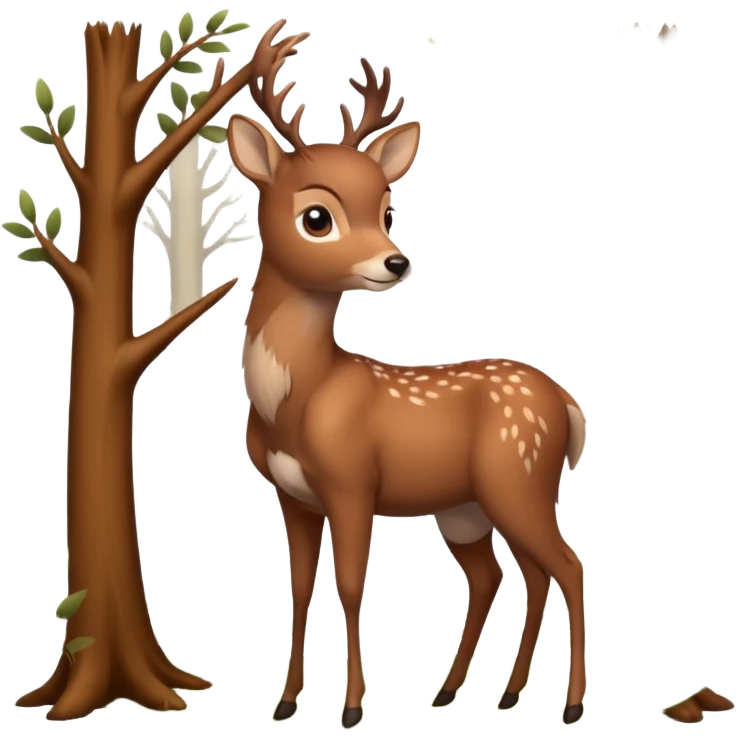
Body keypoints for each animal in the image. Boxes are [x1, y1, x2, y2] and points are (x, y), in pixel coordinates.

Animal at [227, 49, 589, 729]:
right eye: (317, 216)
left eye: (387, 211)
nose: (397, 261)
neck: (297, 400)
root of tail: (567, 403)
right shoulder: (292, 494)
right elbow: (297, 588)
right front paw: (285, 703)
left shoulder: (351, 482)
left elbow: (349, 584)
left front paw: (351, 709)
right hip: (467, 507)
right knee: (506, 575)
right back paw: (477, 693)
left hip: (518, 478)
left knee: (567, 566)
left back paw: (571, 704)